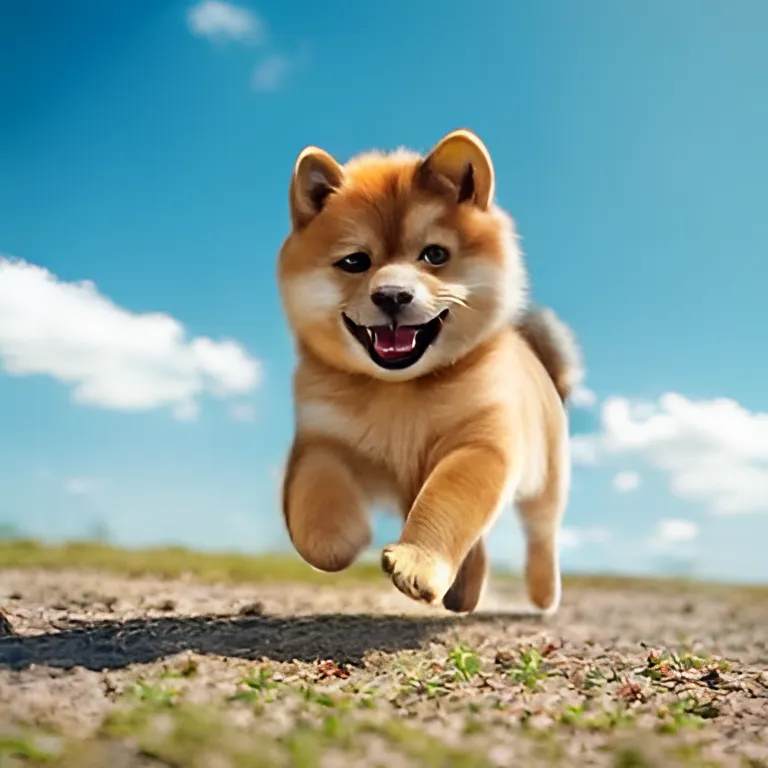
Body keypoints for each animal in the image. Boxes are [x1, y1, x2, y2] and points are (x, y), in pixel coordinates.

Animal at [276, 129, 584, 616]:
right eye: (355, 261)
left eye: (435, 255)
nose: (392, 295)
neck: (401, 392)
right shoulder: (323, 441)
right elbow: (316, 510)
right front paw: (345, 538)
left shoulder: (480, 446)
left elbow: (448, 502)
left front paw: (418, 562)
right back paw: (464, 593)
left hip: (545, 482)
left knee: (542, 536)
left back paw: (542, 593)